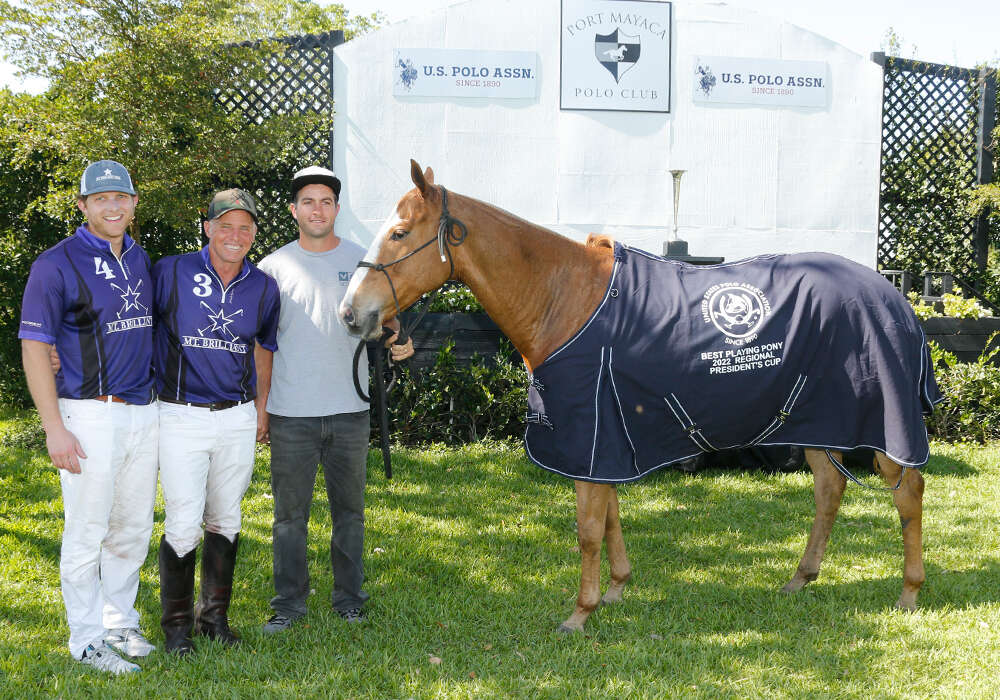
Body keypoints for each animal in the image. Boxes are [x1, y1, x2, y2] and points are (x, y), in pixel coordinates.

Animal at [340, 161, 924, 632]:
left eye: (399, 233)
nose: (352, 313)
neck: (562, 298)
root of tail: (893, 296)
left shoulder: (589, 435)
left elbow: (588, 529)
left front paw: (580, 613)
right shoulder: (605, 438)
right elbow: (611, 517)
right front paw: (616, 589)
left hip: (880, 428)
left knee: (908, 492)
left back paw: (909, 593)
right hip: (815, 422)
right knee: (830, 489)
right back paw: (800, 578)